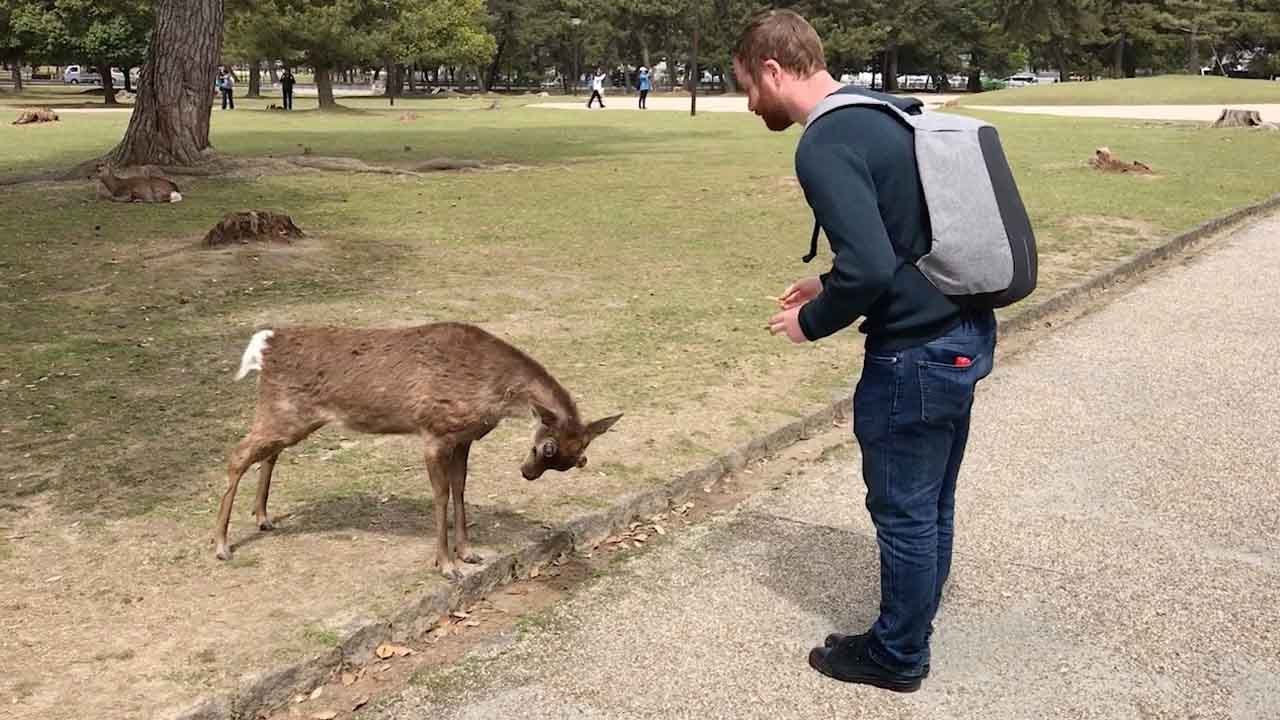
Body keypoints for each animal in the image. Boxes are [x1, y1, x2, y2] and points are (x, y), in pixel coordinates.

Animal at [217, 322, 623, 580]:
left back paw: (263, 517)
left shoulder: (463, 438)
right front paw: (446, 565)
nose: (527, 473)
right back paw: (222, 545)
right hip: (284, 413)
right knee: (238, 454)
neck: (490, 393)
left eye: (579, 459)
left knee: (268, 453)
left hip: (292, 418)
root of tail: (265, 346)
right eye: (548, 447)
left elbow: (460, 489)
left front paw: (468, 552)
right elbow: (441, 494)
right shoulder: (434, 432)